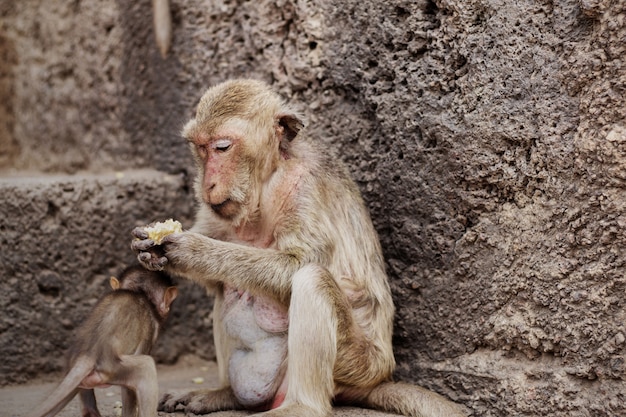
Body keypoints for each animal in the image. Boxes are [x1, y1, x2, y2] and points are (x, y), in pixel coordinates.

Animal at [27, 264, 177, 416]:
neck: (137, 292)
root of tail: (87, 355)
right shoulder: (150, 330)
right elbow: (129, 391)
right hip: (114, 368)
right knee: (146, 368)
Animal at [132, 79, 464, 416]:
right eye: (200, 148)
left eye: (222, 147)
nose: (207, 184)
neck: (266, 185)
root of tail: (378, 378)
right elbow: (217, 281)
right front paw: (150, 248)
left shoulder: (305, 186)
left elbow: (298, 263)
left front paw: (191, 250)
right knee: (230, 288)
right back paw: (226, 395)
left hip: (358, 363)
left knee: (312, 280)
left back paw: (302, 407)